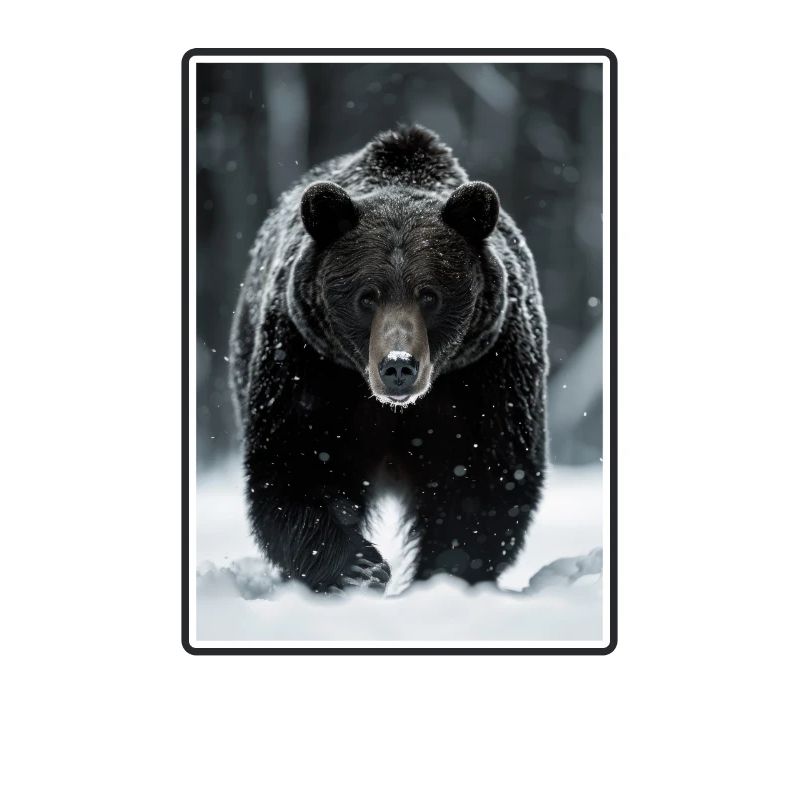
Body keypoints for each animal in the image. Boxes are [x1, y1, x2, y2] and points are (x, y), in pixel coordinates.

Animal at [229, 125, 548, 593]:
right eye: (367, 297)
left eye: (430, 295)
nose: (398, 365)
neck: (398, 410)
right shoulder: (309, 366)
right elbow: (300, 464)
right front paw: (359, 566)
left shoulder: (486, 373)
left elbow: (482, 480)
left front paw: (446, 572)